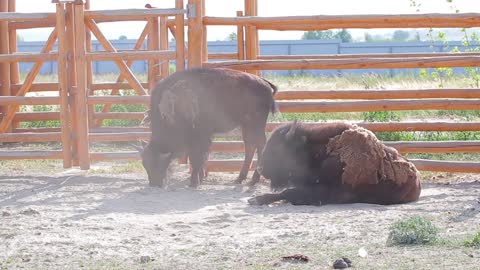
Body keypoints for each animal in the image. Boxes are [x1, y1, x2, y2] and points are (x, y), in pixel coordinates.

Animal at [139, 67, 278, 188]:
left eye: (157, 163)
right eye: (144, 164)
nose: (154, 183)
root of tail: (265, 83)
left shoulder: (198, 136)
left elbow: (197, 157)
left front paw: (194, 182)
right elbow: (199, 157)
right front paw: (199, 179)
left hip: (256, 124)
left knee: (259, 145)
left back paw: (253, 180)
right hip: (247, 126)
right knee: (250, 146)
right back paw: (239, 179)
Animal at [249, 121, 422, 206]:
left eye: (276, 149)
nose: (260, 168)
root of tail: (418, 181)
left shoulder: (326, 192)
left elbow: (288, 192)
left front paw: (256, 199)